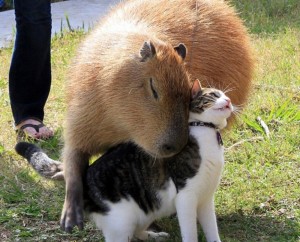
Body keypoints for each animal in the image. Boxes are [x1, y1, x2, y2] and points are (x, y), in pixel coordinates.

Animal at [15, 80, 233, 242]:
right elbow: (190, 233)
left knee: (138, 231)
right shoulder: (186, 197)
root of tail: (82, 176)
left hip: (146, 210)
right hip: (121, 222)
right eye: (214, 95)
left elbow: (212, 229)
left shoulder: (205, 198)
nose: (229, 100)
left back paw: (153, 235)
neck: (206, 132)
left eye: (224, 95)